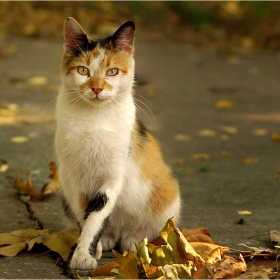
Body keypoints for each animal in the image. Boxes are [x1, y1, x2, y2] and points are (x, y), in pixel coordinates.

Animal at [55, 16, 180, 270]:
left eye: (112, 72)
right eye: (83, 70)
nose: (97, 88)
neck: (94, 119)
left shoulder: (113, 176)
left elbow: (97, 214)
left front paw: (84, 255)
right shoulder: (71, 178)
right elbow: (85, 216)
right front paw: (89, 250)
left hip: (167, 193)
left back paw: (135, 241)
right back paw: (108, 239)